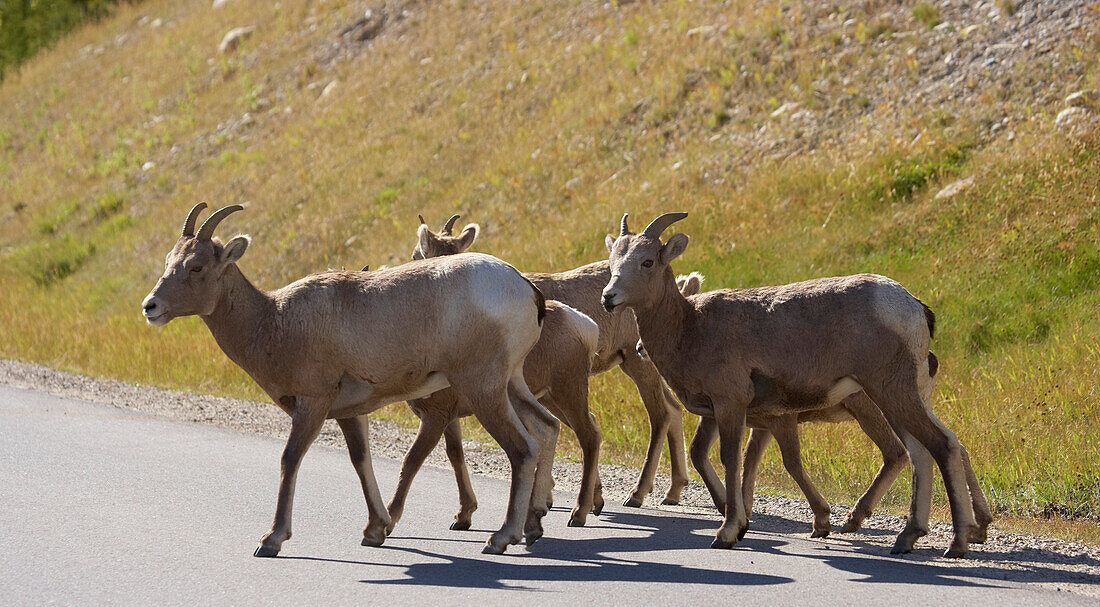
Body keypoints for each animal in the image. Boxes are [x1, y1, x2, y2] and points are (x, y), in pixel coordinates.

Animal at [140, 202, 558, 554]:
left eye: (196, 266)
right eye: (169, 261)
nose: (150, 307)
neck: (274, 320)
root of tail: (527, 290)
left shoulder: (313, 404)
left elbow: (290, 459)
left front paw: (272, 539)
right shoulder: (351, 412)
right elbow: (361, 461)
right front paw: (375, 530)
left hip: (484, 388)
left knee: (522, 448)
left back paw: (501, 538)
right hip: (511, 384)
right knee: (547, 427)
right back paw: (531, 529)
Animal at [389, 214, 602, 532]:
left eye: (416, 255)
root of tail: (584, 324)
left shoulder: (435, 414)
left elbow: (413, 460)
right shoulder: (451, 417)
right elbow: (455, 455)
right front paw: (463, 516)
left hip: (568, 391)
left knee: (588, 435)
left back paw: (578, 513)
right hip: (550, 399)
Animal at [413, 213, 686, 508]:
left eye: (416, 255)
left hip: (637, 363)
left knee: (659, 415)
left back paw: (636, 494)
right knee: (674, 409)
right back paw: (672, 492)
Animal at [607, 213, 994, 558]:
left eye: (646, 262)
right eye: (613, 262)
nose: (608, 297)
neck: (690, 327)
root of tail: (913, 307)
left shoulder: (733, 405)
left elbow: (732, 459)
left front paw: (728, 533)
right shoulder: (729, 414)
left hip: (891, 394)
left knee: (940, 446)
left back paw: (956, 544)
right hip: (897, 399)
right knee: (920, 453)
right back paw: (907, 538)